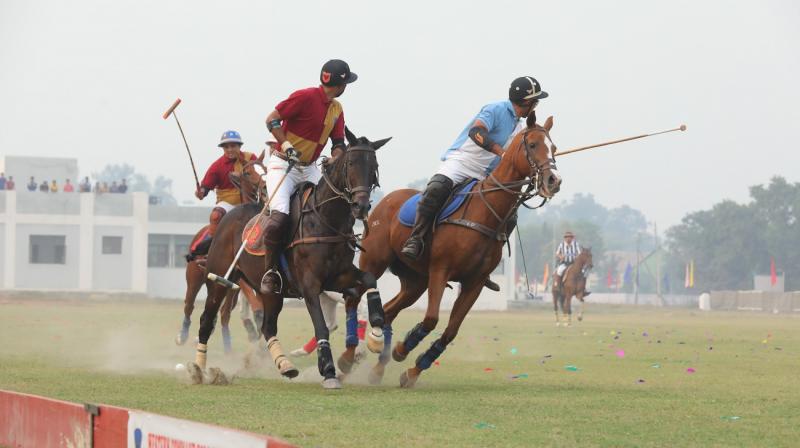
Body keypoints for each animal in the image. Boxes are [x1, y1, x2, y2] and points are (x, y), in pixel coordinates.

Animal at [172, 153, 266, 350]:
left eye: (265, 168)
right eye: (247, 172)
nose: (265, 187)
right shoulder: (238, 276)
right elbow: (257, 307)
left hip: (230, 289)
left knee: (224, 312)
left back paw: (227, 341)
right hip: (194, 277)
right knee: (189, 305)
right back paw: (183, 335)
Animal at [192, 133, 390, 388]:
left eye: (374, 166)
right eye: (350, 164)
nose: (361, 206)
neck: (326, 220)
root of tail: (229, 216)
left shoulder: (337, 277)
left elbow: (369, 279)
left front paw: (376, 338)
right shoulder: (310, 284)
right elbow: (321, 326)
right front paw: (328, 370)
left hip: (271, 292)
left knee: (268, 326)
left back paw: (285, 364)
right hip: (219, 279)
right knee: (207, 320)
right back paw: (199, 369)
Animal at [356, 114, 564, 386]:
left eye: (554, 147)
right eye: (532, 145)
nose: (554, 181)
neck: (485, 213)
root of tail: (385, 200)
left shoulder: (475, 282)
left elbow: (450, 331)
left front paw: (413, 371)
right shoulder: (440, 270)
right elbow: (431, 319)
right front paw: (402, 349)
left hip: (415, 280)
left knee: (388, 311)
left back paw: (375, 364)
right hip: (374, 262)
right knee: (356, 301)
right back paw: (349, 357)